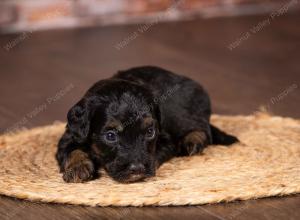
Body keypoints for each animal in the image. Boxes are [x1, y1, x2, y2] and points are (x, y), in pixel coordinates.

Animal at [56, 66, 238, 183]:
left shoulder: (165, 138)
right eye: (110, 136)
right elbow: (72, 150)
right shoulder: (71, 134)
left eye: (150, 132)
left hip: (181, 113)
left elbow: (156, 152)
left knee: (203, 127)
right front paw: (78, 168)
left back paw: (193, 141)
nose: (137, 169)